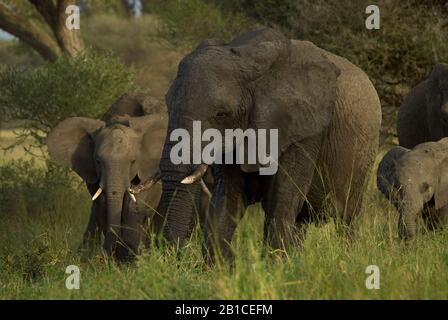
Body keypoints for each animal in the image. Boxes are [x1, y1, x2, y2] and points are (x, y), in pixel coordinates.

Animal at [46, 95, 166, 260]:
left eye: (133, 161)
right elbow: (102, 205)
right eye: (98, 161)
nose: (105, 256)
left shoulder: (147, 170)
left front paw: (130, 258)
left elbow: (135, 206)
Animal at [158, 28, 382, 262]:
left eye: (221, 114)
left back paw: (349, 257)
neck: (249, 57)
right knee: (301, 220)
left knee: (346, 218)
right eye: (167, 106)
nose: (176, 258)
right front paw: (219, 267)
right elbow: (227, 199)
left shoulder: (306, 130)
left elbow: (281, 201)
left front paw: (276, 266)